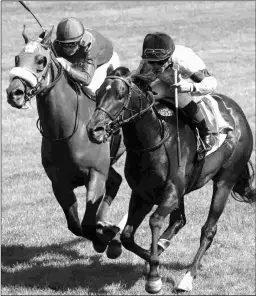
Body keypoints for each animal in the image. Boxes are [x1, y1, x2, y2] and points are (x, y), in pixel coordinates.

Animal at [5, 26, 126, 254]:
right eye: (17, 58)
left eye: (41, 60)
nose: (14, 93)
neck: (67, 130)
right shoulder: (58, 182)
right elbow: (76, 225)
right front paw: (105, 234)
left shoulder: (96, 175)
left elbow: (87, 223)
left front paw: (106, 239)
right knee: (116, 181)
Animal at [86, 66, 256, 294]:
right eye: (97, 93)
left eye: (120, 95)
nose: (94, 129)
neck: (154, 141)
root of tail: (238, 113)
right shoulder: (142, 194)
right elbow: (127, 236)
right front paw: (149, 258)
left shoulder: (172, 192)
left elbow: (155, 220)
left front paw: (154, 277)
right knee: (179, 220)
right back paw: (162, 246)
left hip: (225, 181)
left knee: (208, 230)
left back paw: (187, 278)